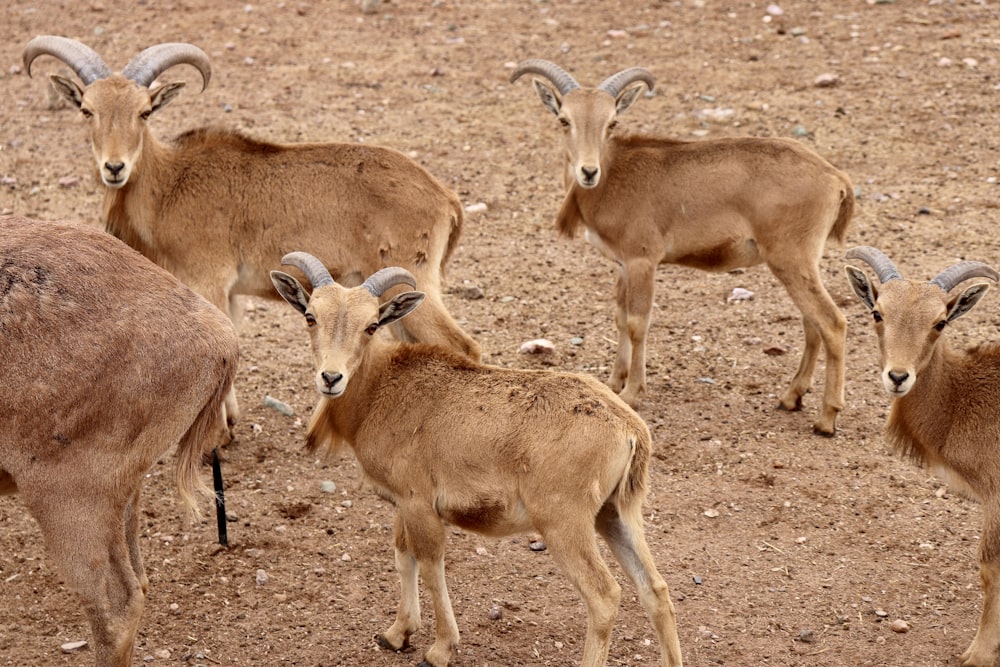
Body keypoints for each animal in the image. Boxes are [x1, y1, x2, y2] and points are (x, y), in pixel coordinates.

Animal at [23, 34, 484, 436]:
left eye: (145, 111)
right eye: (87, 110)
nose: (114, 168)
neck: (169, 186)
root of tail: (446, 200)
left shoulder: (209, 278)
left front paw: (218, 436)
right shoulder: (230, 293)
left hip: (414, 280)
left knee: (464, 348)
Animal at [270, 252, 684, 667]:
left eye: (371, 325)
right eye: (310, 317)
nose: (331, 377)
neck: (380, 391)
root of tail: (630, 429)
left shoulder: (419, 503)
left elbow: (430, 566)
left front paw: (439, 649)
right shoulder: (402, 503)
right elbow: (404, 557)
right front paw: (396, 634)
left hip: (564, 520)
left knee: (604, 597)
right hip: (615, 513)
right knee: (656, 589)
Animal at [512, 60, 856, 438]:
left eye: (611, 122)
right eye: (564, 119)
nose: (588, 171)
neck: (614, 176)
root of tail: (835, 178)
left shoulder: (643, 260)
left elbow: (637, 323)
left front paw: (632, 393)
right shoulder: (622, 265)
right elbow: (619, 317)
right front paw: (614, 383)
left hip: (790, 258)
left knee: (832, 322)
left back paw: (826, 418)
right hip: (803, 262)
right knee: (812, 322)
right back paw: (791, 397)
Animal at [844, 245, 1000, 667]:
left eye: (940, 322)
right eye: (877, 312)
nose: (898, 377)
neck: (964, 400)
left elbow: (989, 569)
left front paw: (978, 654)